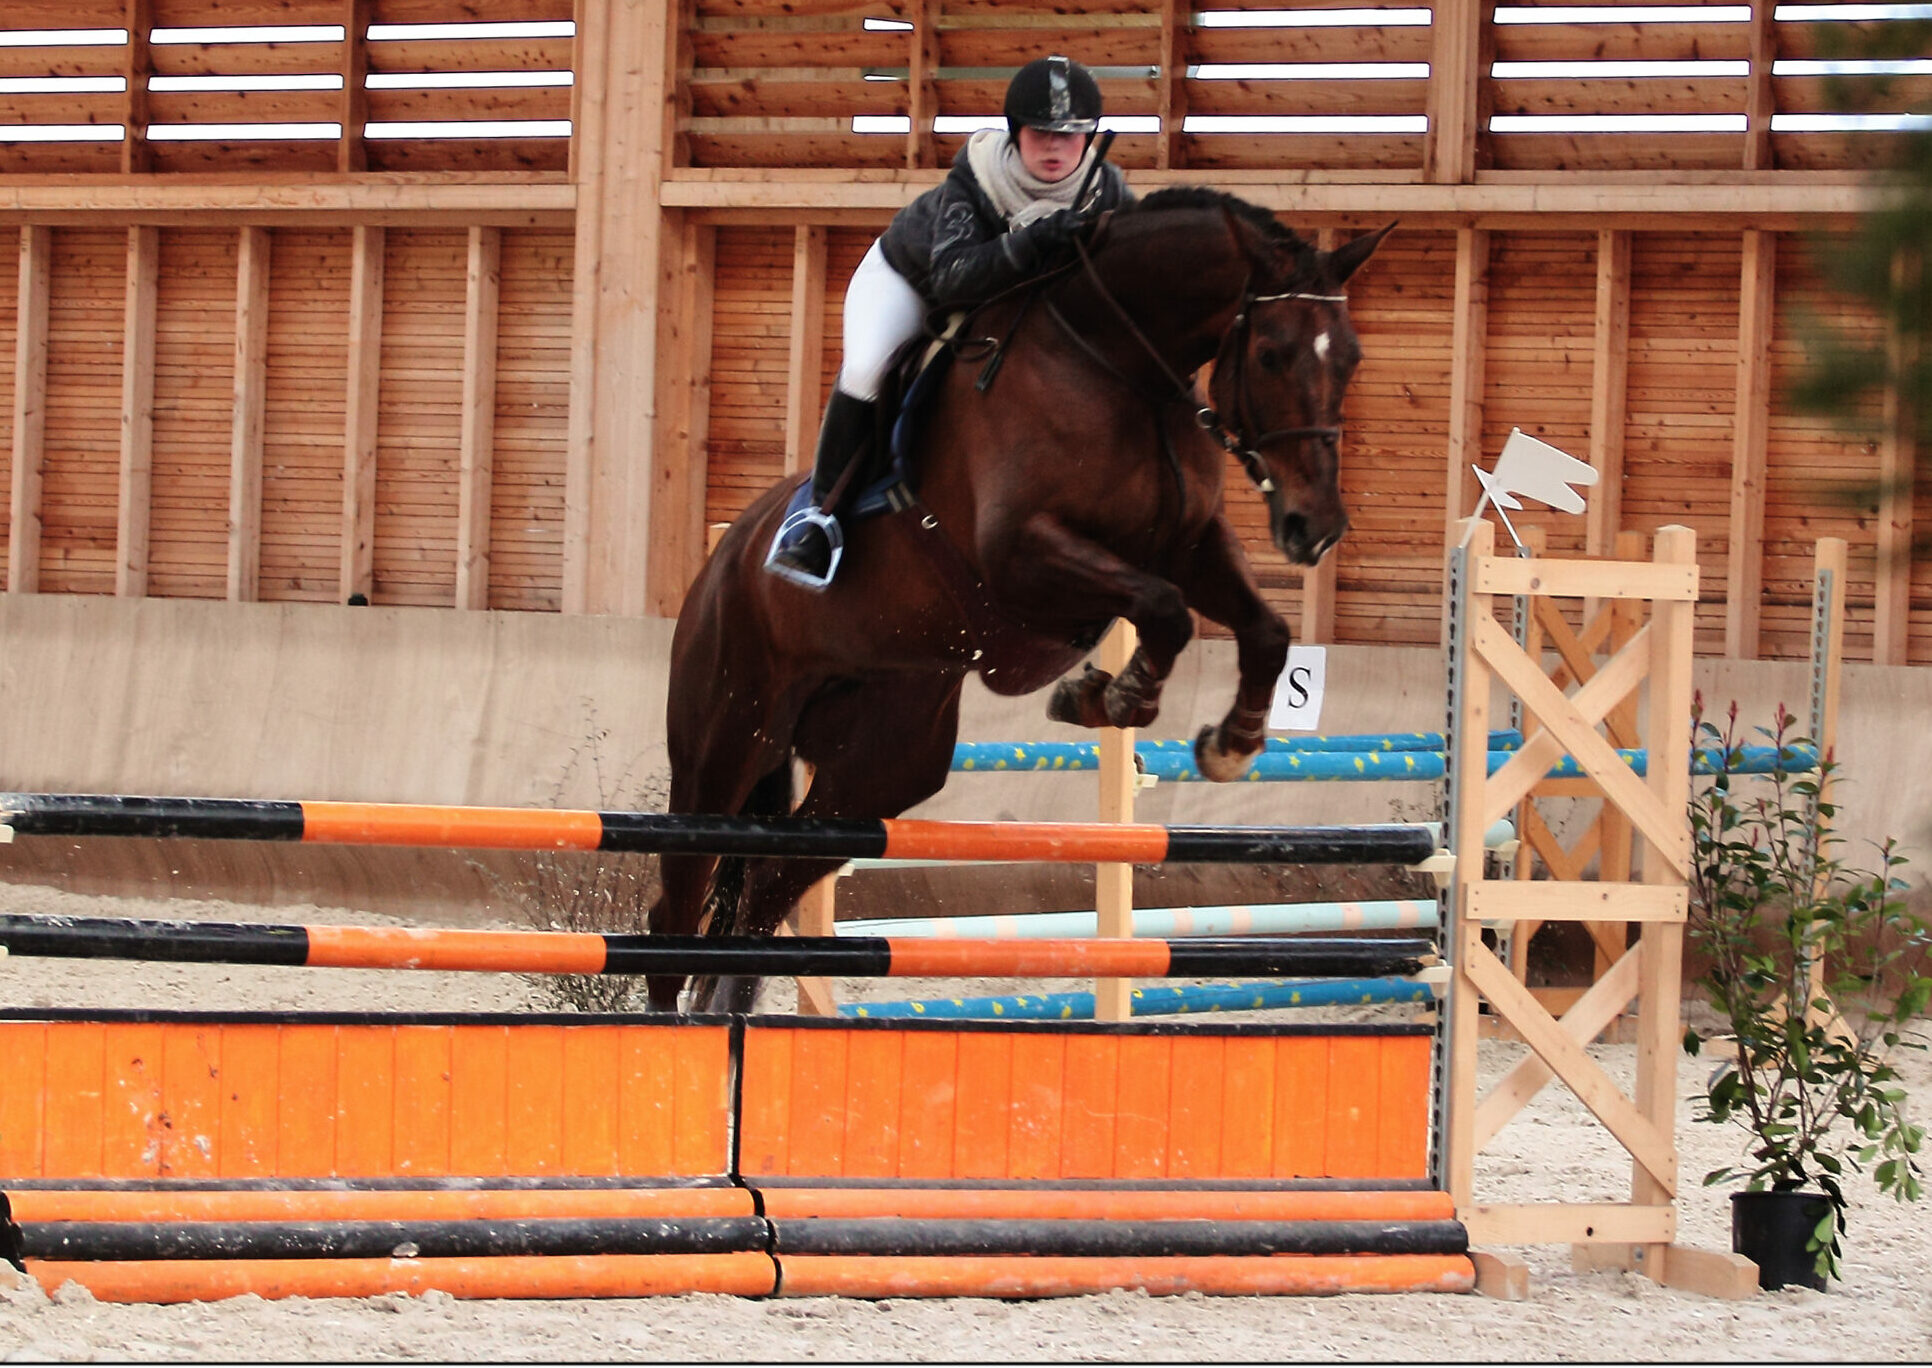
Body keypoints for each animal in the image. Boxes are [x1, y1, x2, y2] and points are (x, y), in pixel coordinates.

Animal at [649, 187, 1391, 1012]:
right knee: (674, 908)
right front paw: (1114, 694)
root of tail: (724, 558)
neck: (1121, 364)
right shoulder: (1023, 554)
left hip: (875, 771)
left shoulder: (1189, 545)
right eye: (1269, 355)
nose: (1315, 528)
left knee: (765, 891)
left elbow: (1263, 630)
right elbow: (1163, 609)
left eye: (1351, 358)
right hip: (725, 741)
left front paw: (1226, 742)